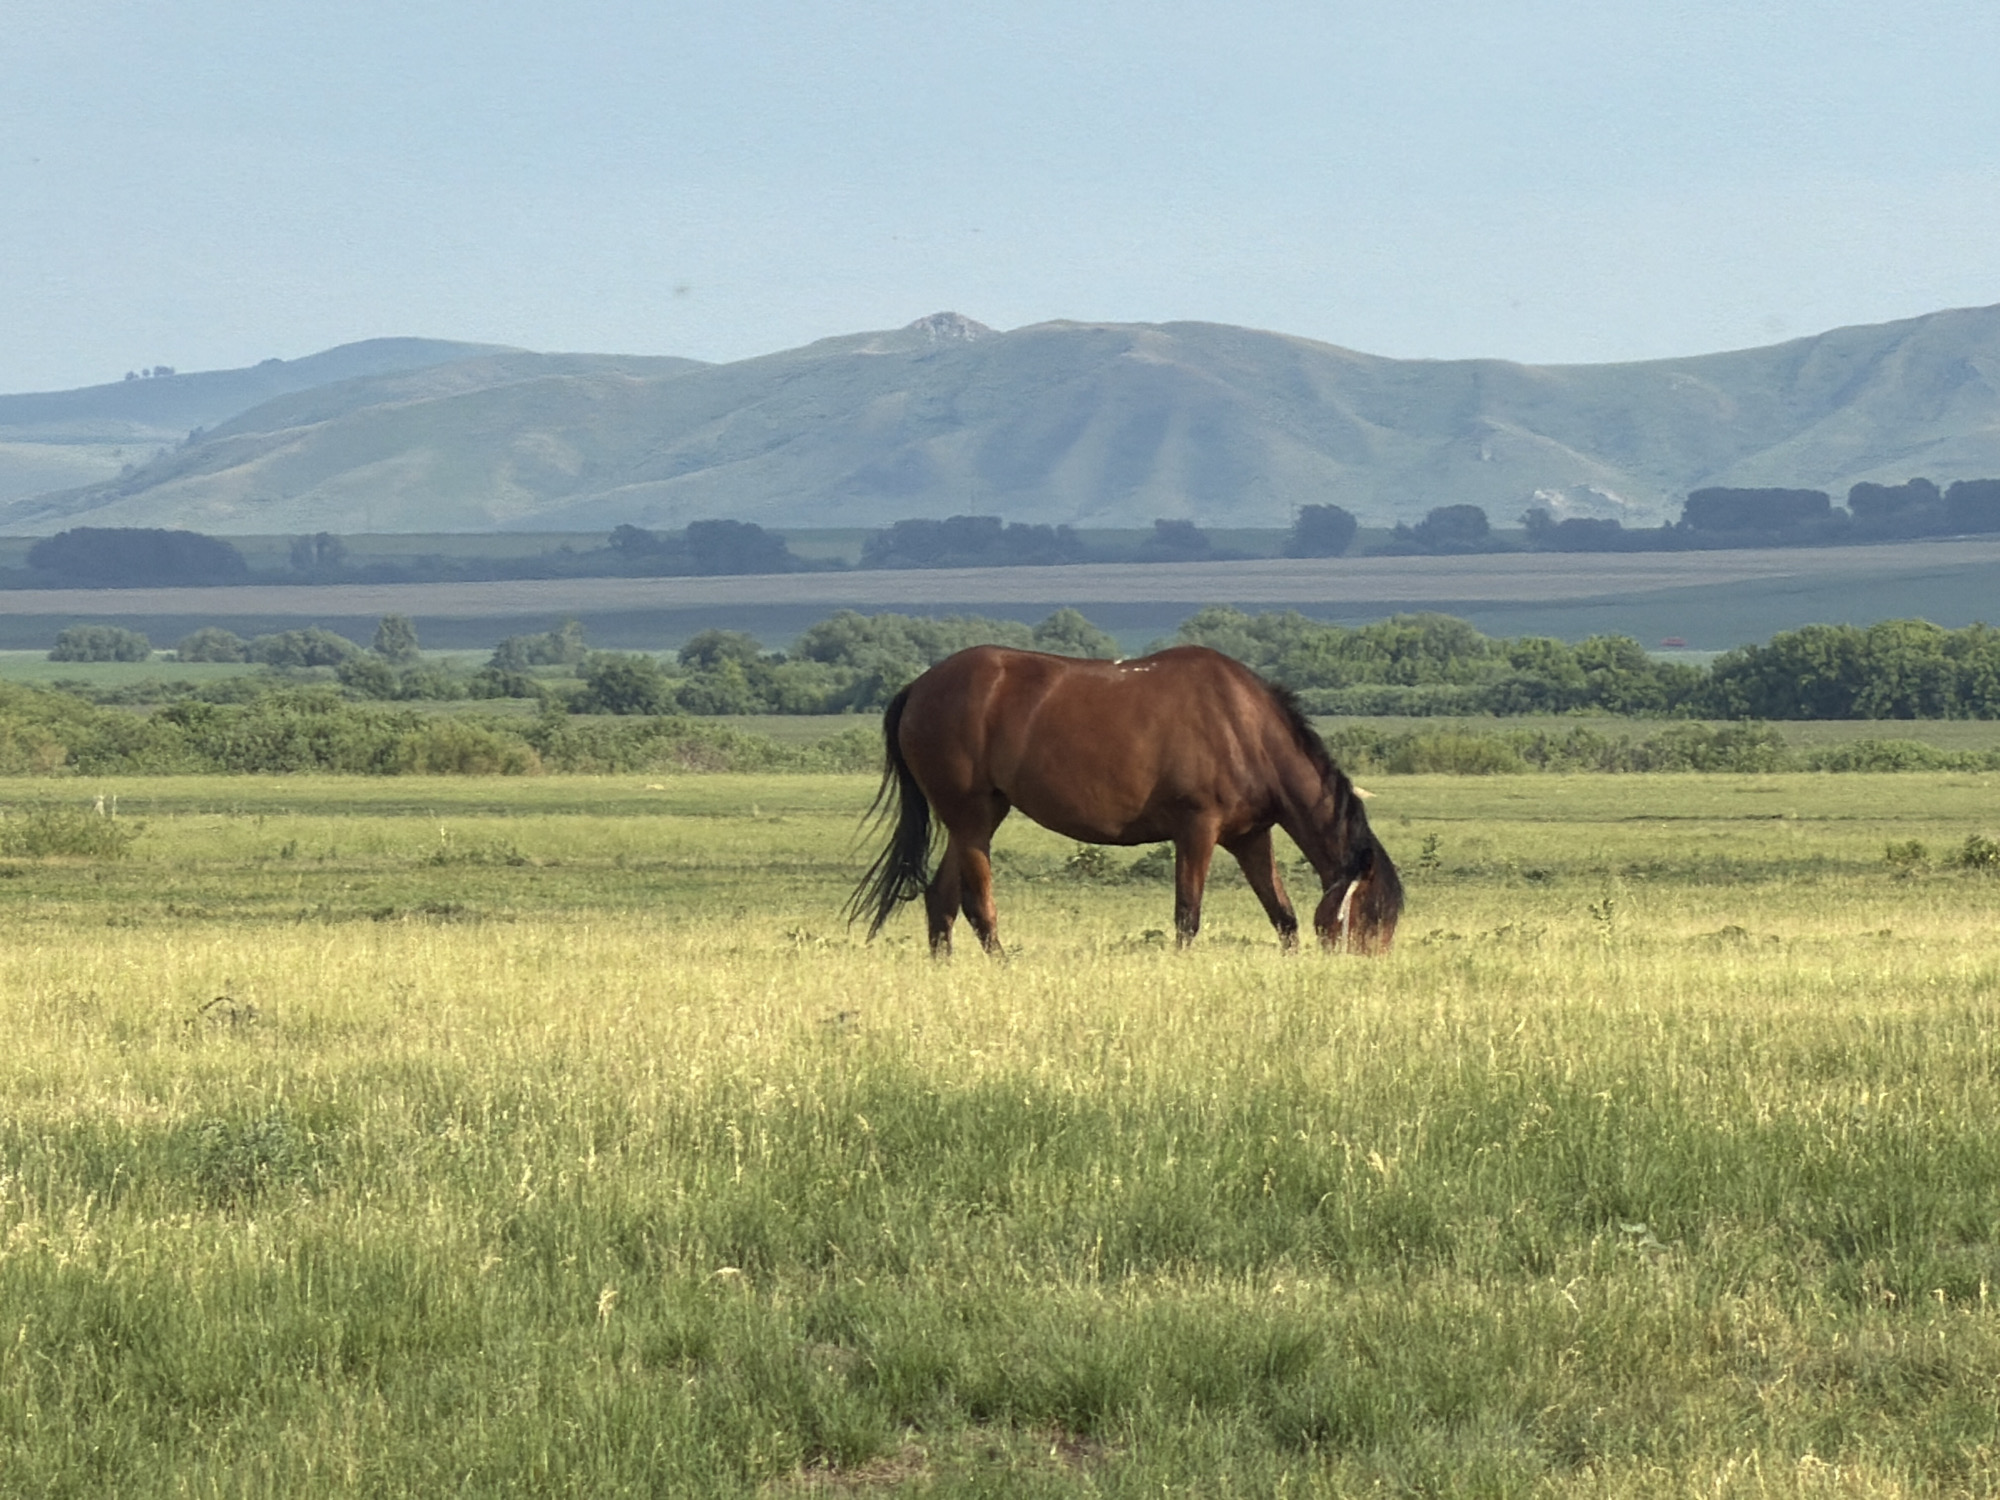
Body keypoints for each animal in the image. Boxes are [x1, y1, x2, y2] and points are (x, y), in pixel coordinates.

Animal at [847, 644, 1402, 955]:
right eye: (1370, 918)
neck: (1244, 725)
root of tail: (919, 686)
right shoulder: (1196, 831)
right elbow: (1187, 916)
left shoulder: (1250, 838)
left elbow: (1282, 915)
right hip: (972, 818)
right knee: (977, 903)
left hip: (977, 819)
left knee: (941, 899)